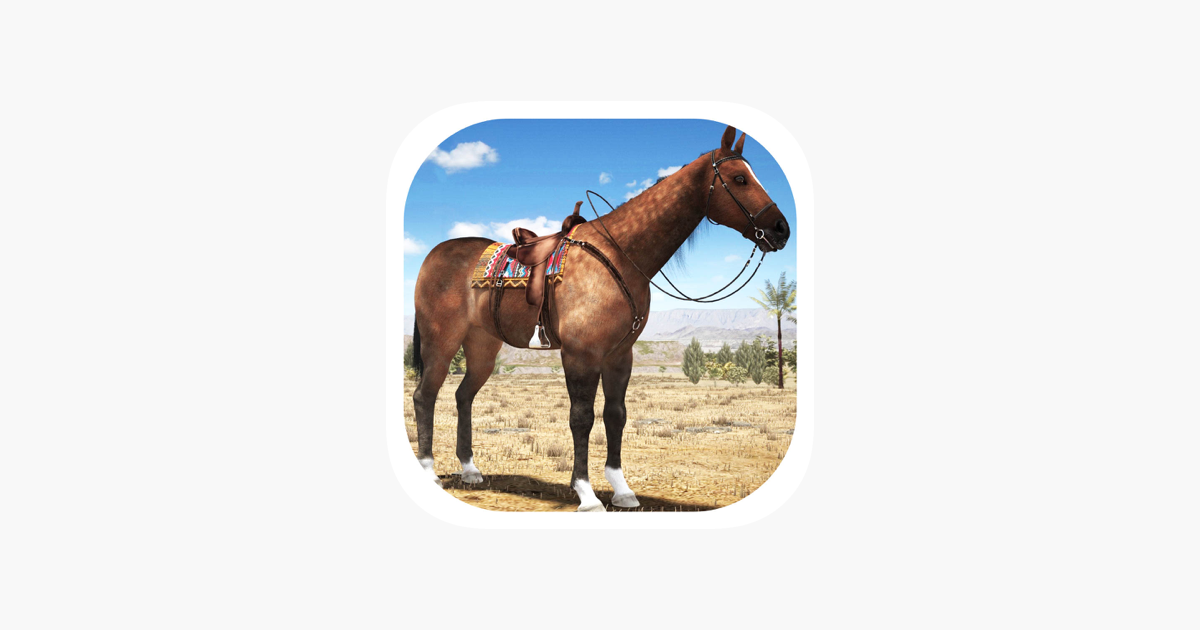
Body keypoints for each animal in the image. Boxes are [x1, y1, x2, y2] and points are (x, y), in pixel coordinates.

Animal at [410, 125, 791, 511]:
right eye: (739, 178)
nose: (780, 229)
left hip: (483, 346)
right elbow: (581, 418)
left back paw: (471, 470)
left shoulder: (620, 355)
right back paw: (429, 472)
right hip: (441, 341)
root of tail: (434, 255)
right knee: (425, 395)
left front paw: (622, 490)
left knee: (463, 396)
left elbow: (615, 415)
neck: (618, 255)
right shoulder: (581, 355)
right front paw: (586, 493)